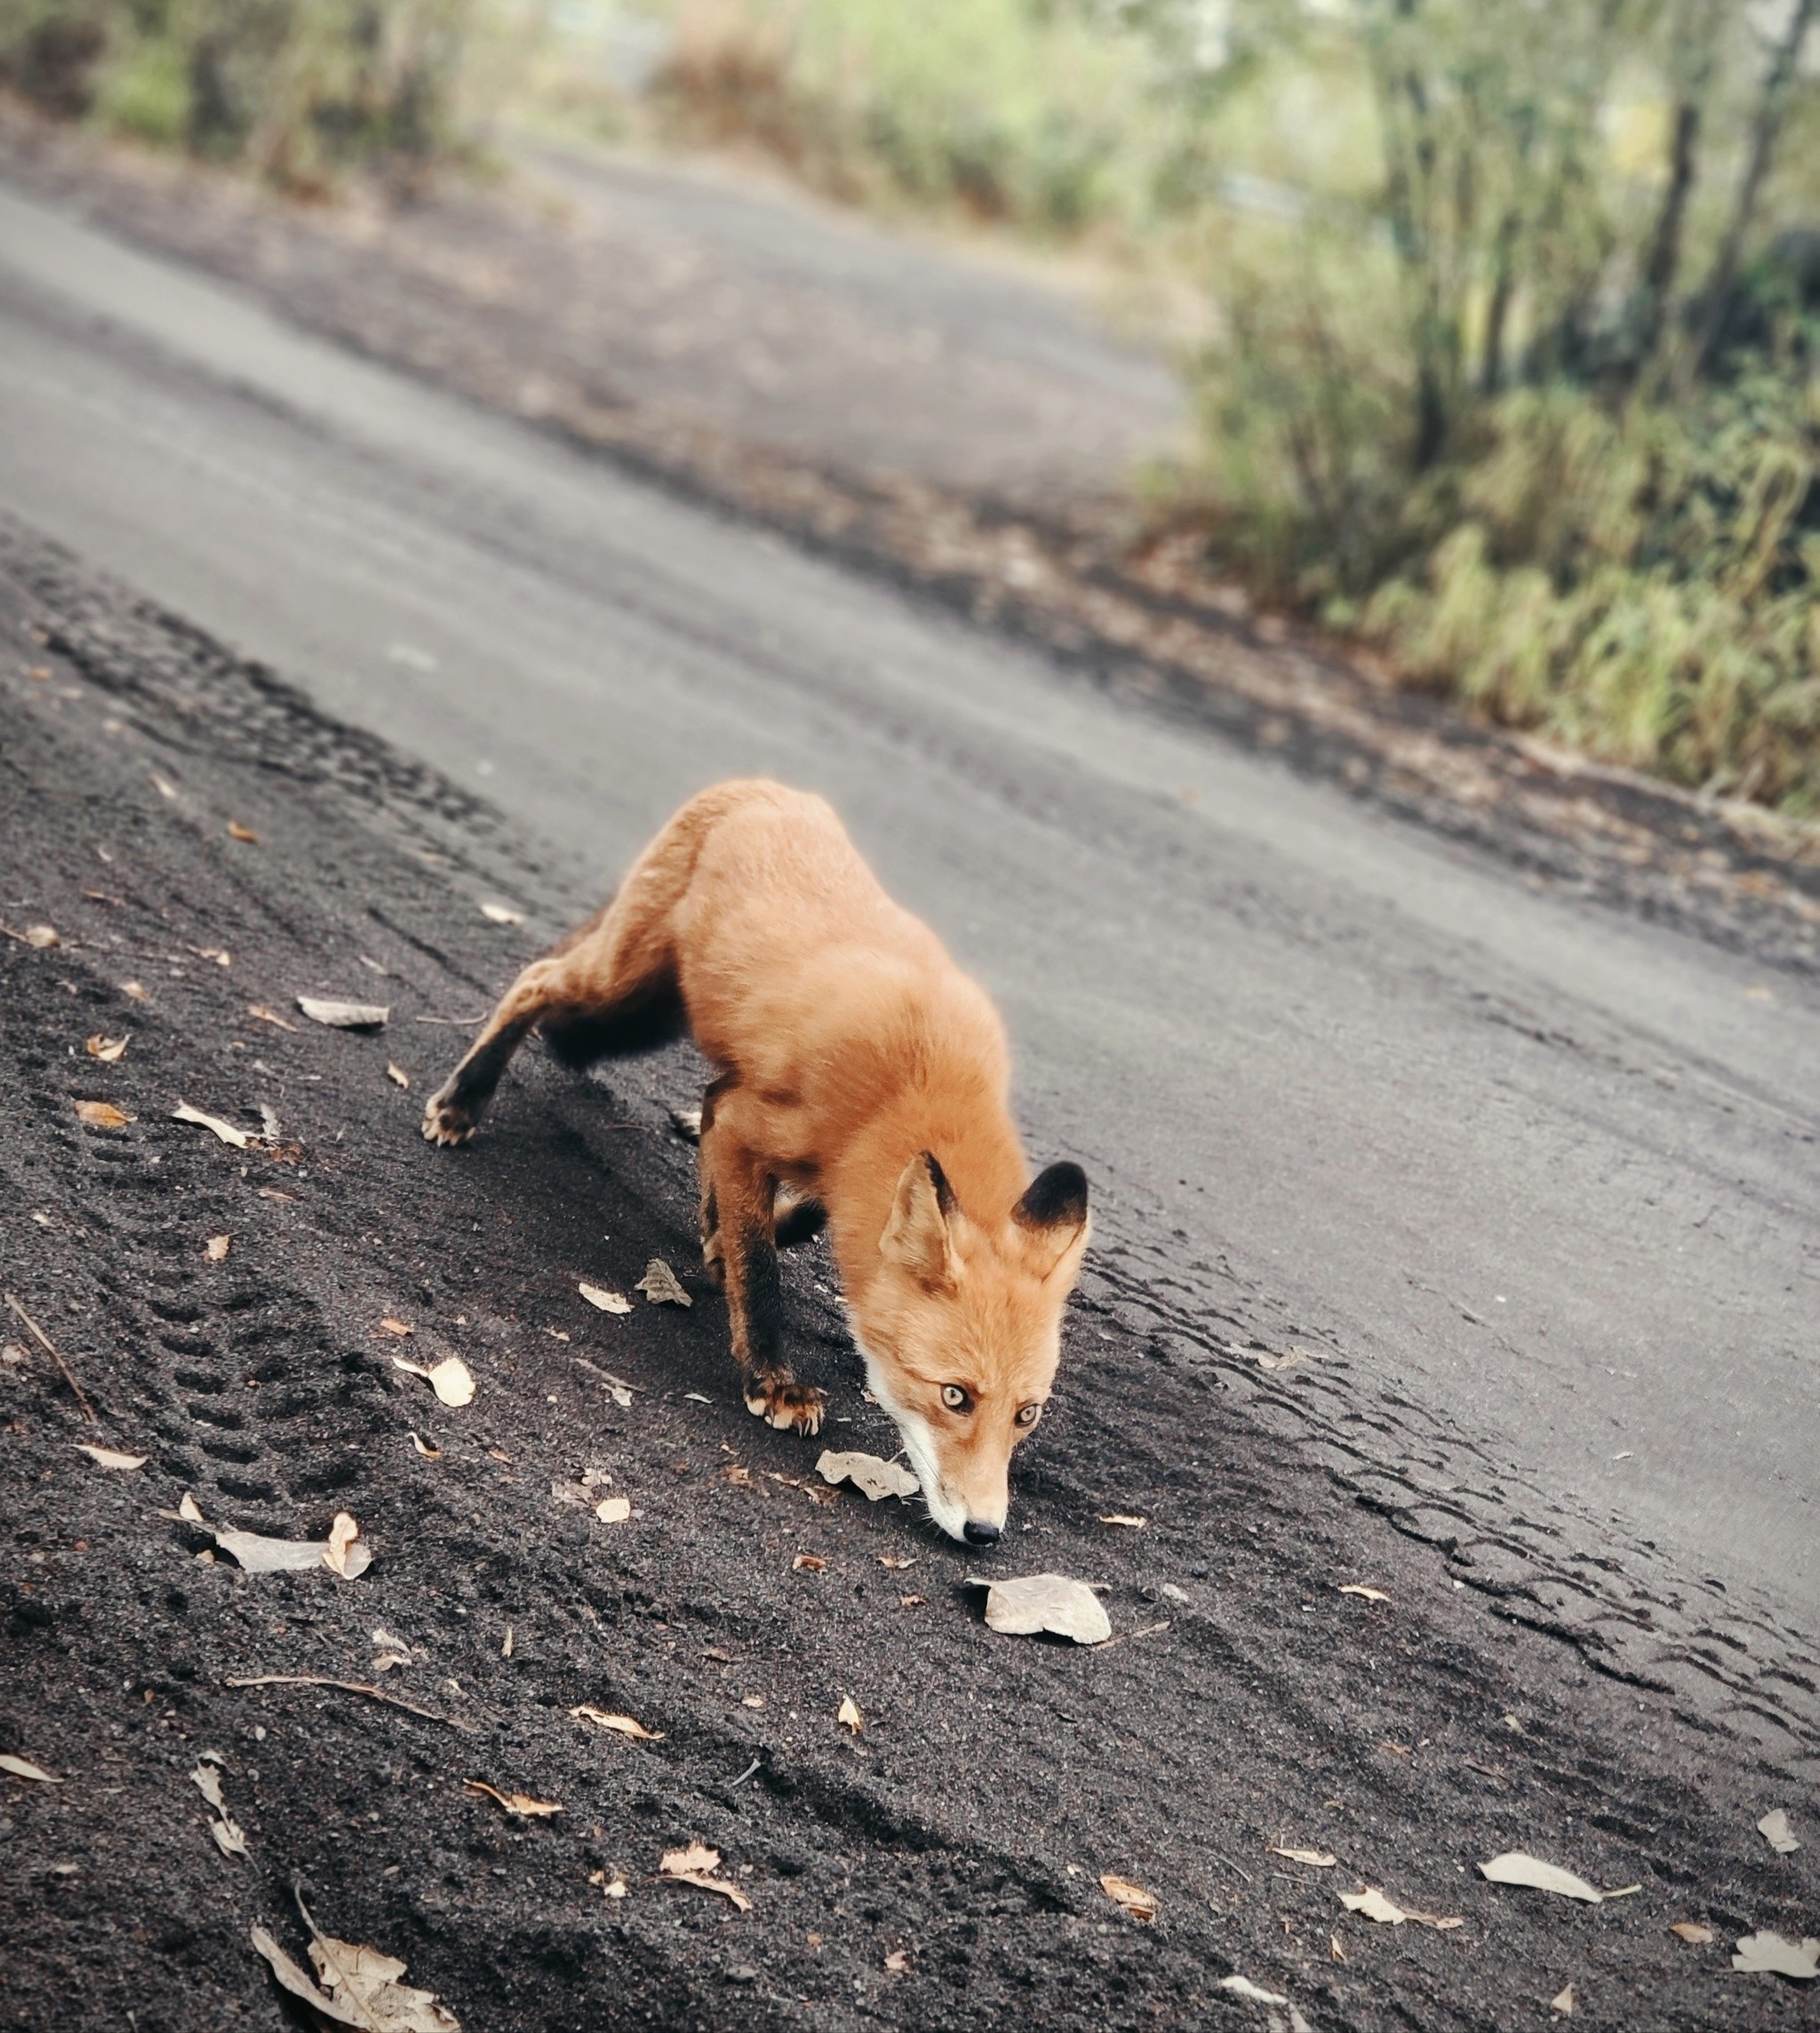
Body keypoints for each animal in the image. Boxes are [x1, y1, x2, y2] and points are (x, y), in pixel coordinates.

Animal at [419, 777, 1090, 1536]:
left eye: (1026, 1414)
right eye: (955, 1396)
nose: (982, 1533)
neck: (922, 1082)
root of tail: (763, 786)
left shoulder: (805, 1153)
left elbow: (789, 1217)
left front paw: (722, 1242)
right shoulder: (755, 1129)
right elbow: (759, 1265)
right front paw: (771, 1378)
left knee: (698, 1090)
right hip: (621, 981)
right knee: (536, 978)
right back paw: (463, 1102)